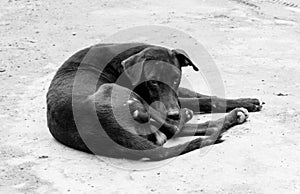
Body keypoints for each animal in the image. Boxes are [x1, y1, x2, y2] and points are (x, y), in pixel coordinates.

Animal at [45, 43, 262, 160]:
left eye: (175, 78)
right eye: (153, 82)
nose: (174, 112)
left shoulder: (176, 94)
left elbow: (208, 99)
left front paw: (247, 101)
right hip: (119, 93)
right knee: (180, 128)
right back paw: (229, 116)